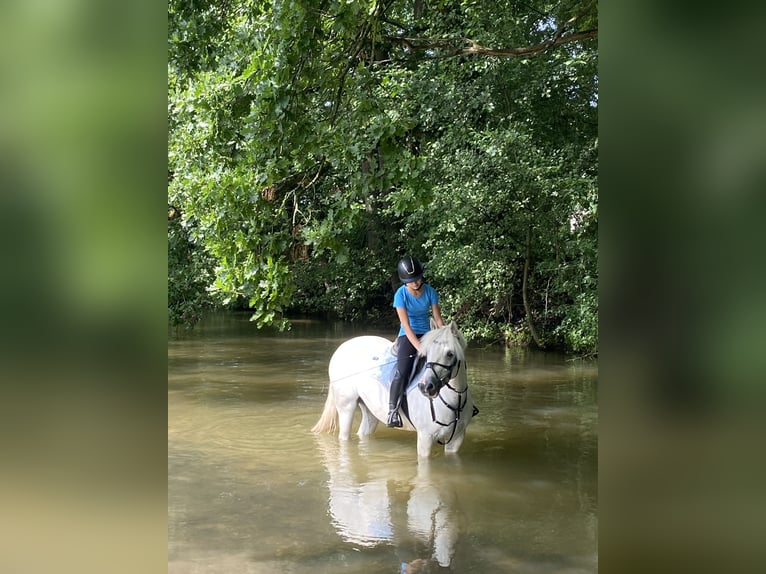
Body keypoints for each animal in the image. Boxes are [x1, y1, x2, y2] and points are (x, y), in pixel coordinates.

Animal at [310, 324, 476, 460]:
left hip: (370, 409)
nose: (426, 386)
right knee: (344, 436)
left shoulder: (456, 440)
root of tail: (341, 348)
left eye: (450, 354)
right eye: (427, 353)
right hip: (346, 407)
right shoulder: (425, 437)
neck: (455, 400)